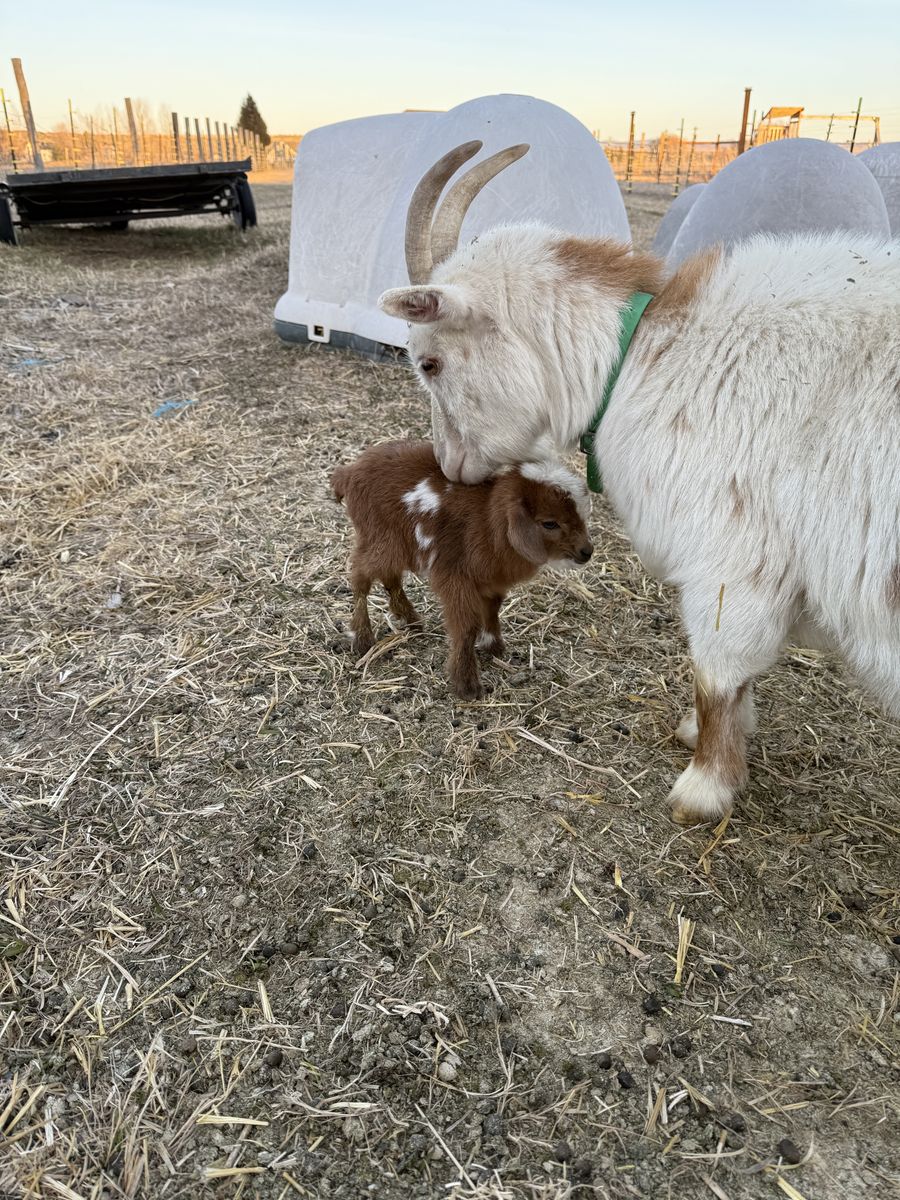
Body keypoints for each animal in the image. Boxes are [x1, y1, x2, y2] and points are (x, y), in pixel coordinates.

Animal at [331, 440, 592, 699]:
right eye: (550, 523)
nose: (587, 551)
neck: (488, 522)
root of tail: (348, 472)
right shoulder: (456, 577)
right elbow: (466, 626)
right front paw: (467, 685)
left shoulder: (491, 582)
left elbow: (492, 610)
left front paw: (493, 645)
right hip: (379, 538)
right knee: (361, 577)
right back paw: (363, 637)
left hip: (394, 544)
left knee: (389, 577)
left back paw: (410, 619)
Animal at [378, 141, 900, 824]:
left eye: (430, 362)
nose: (449, 466)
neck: (651, 359)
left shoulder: (734, 563)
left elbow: (717, 672)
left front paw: (702, 788)